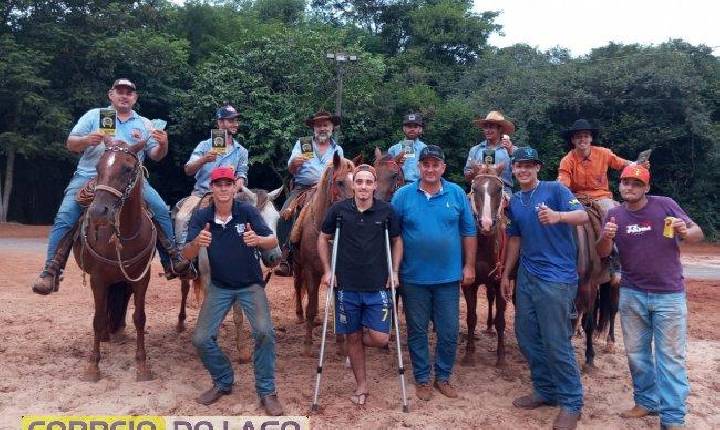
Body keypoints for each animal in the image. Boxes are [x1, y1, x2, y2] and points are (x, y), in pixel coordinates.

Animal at [73, 142, 156, 382]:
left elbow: (140, 317)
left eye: (127, 169)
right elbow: (98, 318)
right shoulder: (98, 280)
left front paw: (142, 365)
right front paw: (93, 367)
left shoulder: (142, 279)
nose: (99, 212)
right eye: (98, 167)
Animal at [292, 153, 356, 354]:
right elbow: (311, 306)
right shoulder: (310, 270)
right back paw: (300, 315)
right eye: (340, 182)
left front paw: (341, 345)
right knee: (298, 286)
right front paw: (307, 345)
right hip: (297, 266)